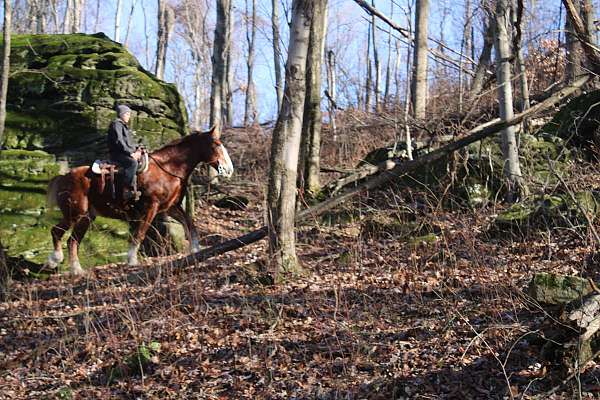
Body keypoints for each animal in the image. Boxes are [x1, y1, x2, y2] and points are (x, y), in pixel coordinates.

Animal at [43, 128, 232, 276]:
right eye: (216, 144)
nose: (229, 170)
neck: (168, 168)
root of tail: (64, 177)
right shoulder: (151, 207)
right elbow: (140, 233)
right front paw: (132, 259)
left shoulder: (170, 208)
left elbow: (190, 225)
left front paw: (195, 249)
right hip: (75, 213)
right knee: (57, 232)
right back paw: (56, 260)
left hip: (86, 217)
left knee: (72, 241)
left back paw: (76, 270)